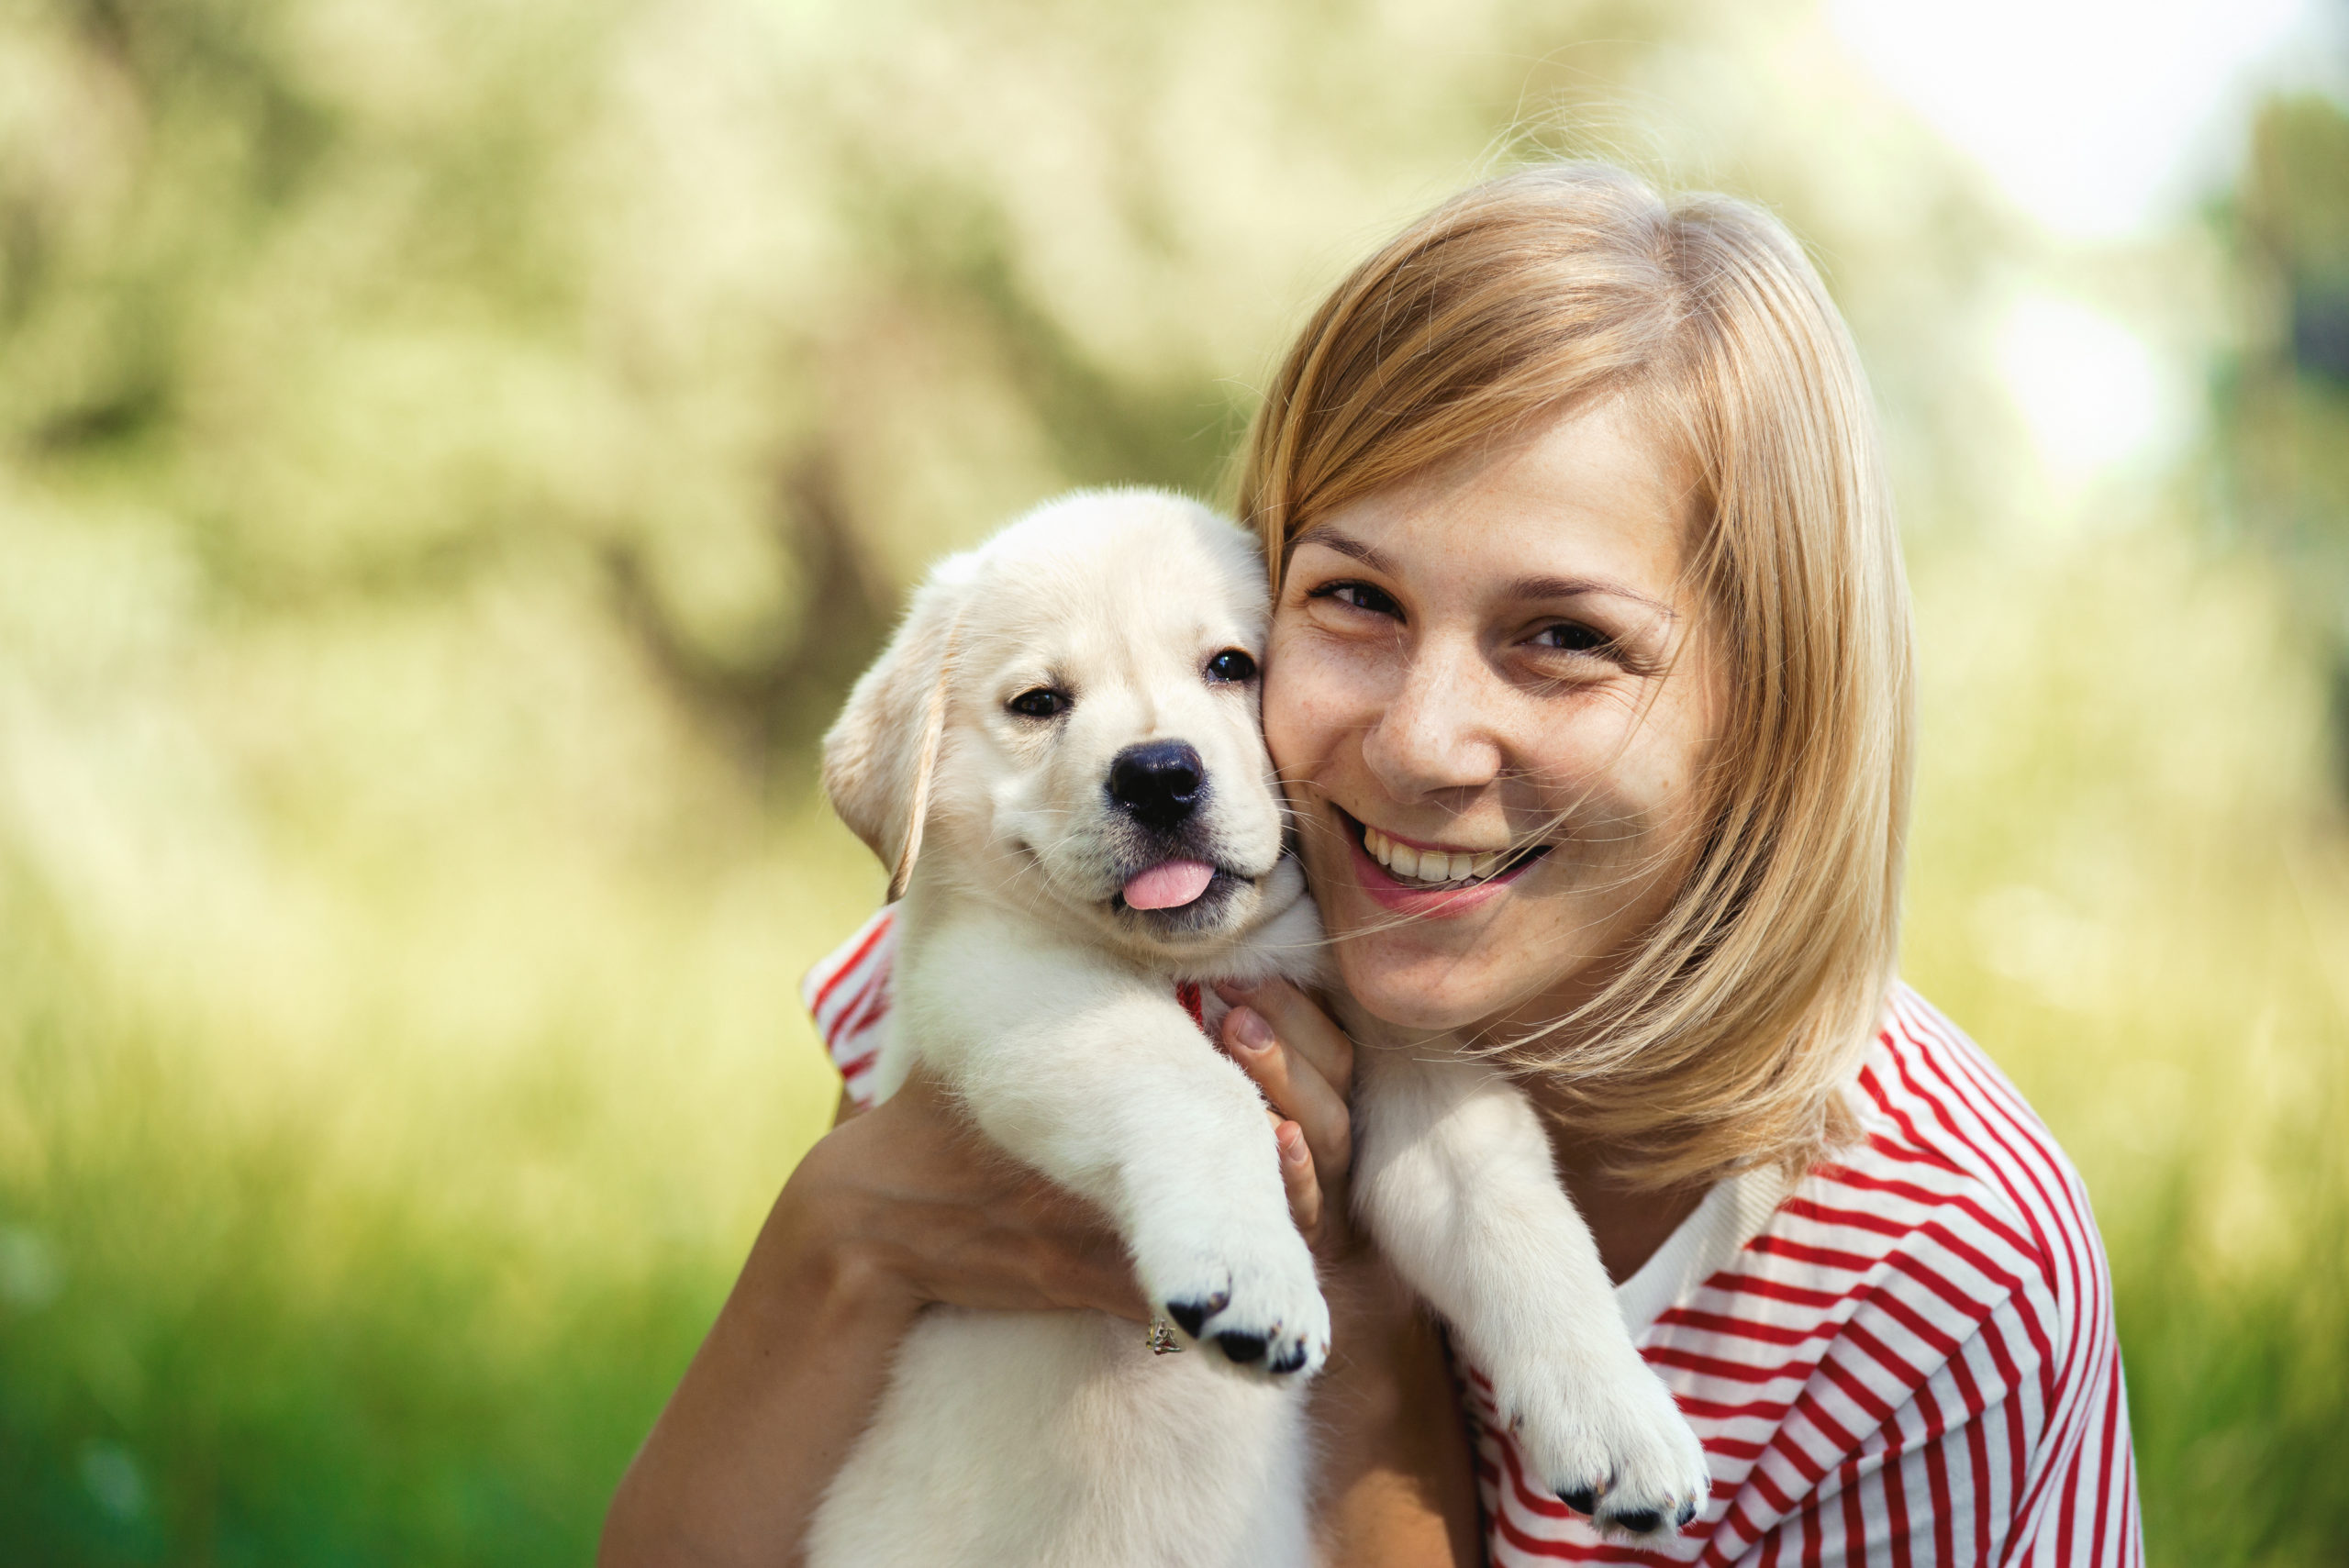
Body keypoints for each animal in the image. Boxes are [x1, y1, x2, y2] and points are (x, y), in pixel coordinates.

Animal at [807, 493, 1709, 1568]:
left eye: (1231, 664)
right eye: (1037, 703)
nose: (1157, 774)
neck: (1206, 963)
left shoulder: (1413, 1058)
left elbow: (1515, 1212)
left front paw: (1621, 1417)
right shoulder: (1002, 972)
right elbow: (1194, 1083)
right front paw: (1249, 1274)